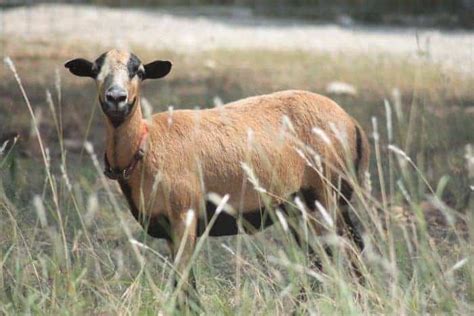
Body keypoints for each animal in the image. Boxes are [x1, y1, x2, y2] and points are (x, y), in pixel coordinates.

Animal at [65, 49, 370, 308]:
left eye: (138, 71)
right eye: (95, 70)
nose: (116, 98)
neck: (146, 145)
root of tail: (352, 123)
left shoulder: (184, 216)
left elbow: (183, 279)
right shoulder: (169, 227)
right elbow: (186, 283)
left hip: (326, 194)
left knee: (344, 248)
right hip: (298, 206)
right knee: (324, 253)